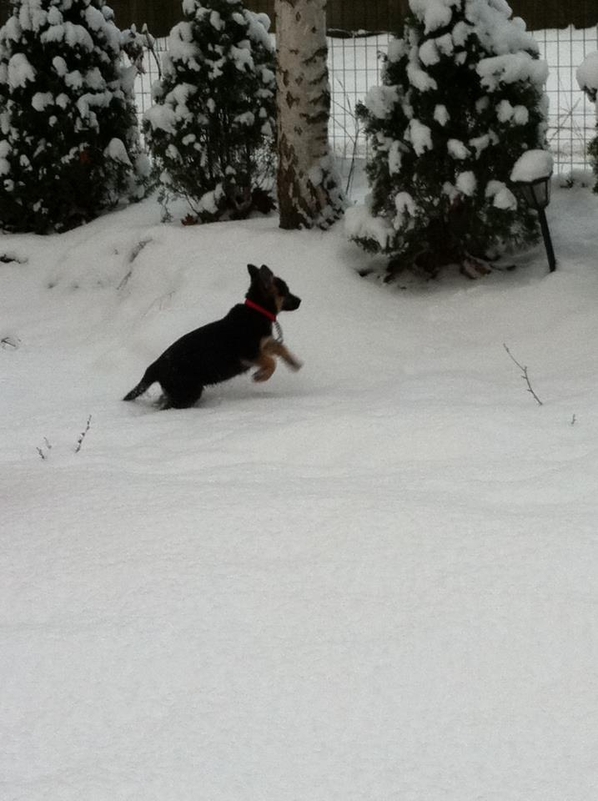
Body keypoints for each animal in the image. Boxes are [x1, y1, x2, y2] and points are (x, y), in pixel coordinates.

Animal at [122, 264, 302, 410]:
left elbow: (280, 348)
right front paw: (261, 376)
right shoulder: (248, 353)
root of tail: (155, 367)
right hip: (188, 390)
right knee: (169, 406)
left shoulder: (263, 344)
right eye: (286, 291)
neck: (257, 311)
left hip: (179, 390)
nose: (300, 300)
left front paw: (294, 363)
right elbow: (271, 362)